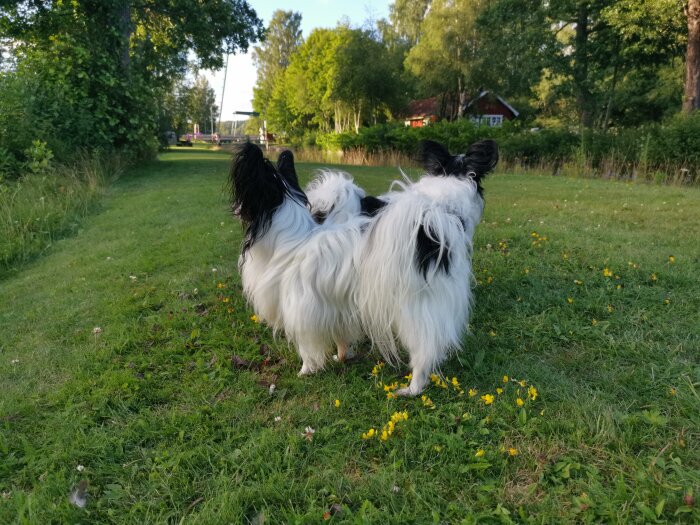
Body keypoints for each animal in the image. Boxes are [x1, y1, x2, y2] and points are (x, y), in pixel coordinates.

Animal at [232, 139, 500, 392]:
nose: (234, 209)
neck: (294, 238)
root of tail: (432, 227)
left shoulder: (301, 311)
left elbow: (307, 349)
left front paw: (306, 371)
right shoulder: (336, 306)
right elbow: (341, 338)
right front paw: (342, 356)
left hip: (415, 311)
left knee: (424, 351)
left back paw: (412, 388)